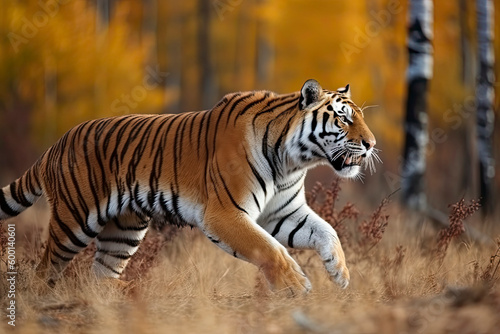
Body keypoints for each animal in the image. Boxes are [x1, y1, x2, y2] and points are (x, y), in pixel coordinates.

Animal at [0, 79, 376, 294]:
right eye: (343, 118)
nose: (371, 144)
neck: (292, 161)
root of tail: (54, 146)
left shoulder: (284, 213)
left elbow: (328, 231)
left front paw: (340, 273)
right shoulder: (224, 214)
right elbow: (270, 250)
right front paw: (296, 287)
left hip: (123, 232)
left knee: (100, 277)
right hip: (73, 221)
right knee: (43, 270)